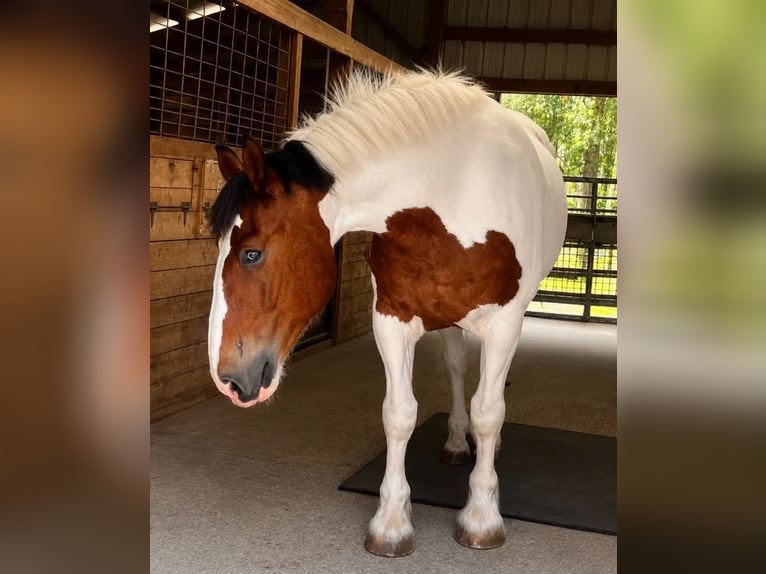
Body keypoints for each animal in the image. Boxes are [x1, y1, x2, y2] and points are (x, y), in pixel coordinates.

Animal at [207, 69, 567, 557]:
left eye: (251, 254)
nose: (227, 378)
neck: (454, 190)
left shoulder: (503, 323)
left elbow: (489, 411)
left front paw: (481, 518)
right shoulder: (392, 321)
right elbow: (399, 414)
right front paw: (392, 524)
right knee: (456, 367)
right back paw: (457, 441)